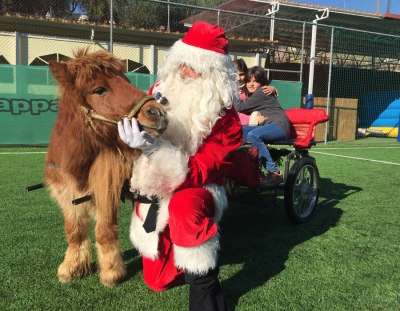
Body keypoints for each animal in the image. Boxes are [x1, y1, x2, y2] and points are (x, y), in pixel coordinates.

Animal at [45, 48, 167, 288]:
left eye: (126, 81)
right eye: (100, 90)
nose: (158, 113)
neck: (78, 165)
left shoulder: (106, 192)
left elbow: (104, 231)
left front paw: (111, 272)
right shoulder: (67, 195)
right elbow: (73, 231)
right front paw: (72, 267)